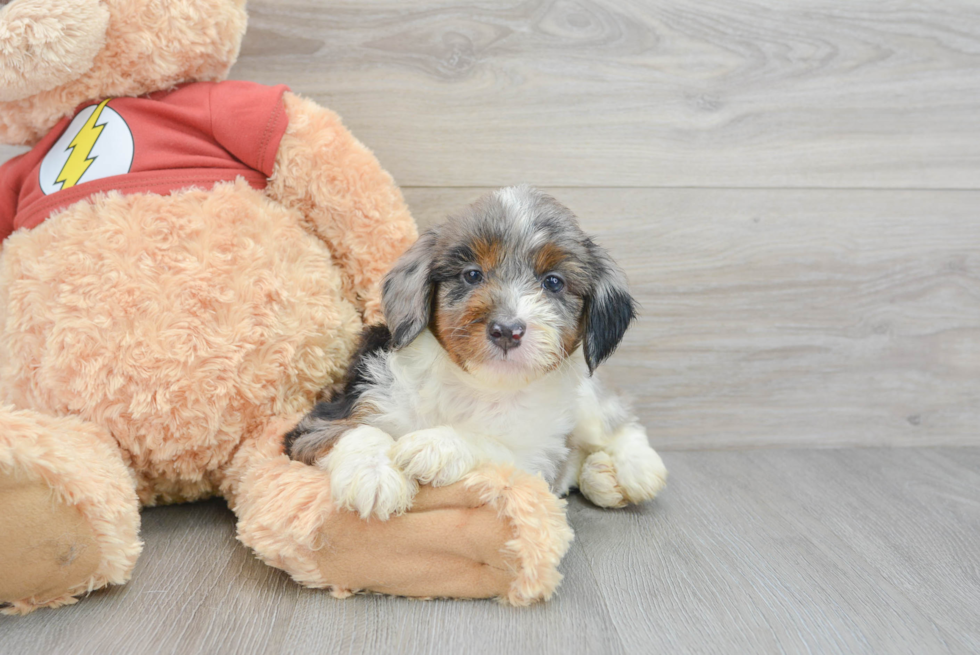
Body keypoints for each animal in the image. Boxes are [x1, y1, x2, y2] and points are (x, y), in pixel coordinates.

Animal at [284, 187, 668, 520]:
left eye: (553, 282)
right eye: (472, 275)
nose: (507, 330)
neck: (478, 387)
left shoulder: (535, 460)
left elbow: (493, 447)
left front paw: (436, 445)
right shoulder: (319, 422)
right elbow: (356, 430)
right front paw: (373, 474)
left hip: (587, 404)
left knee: (618, 419)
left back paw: (636, 468)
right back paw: (602, 476)